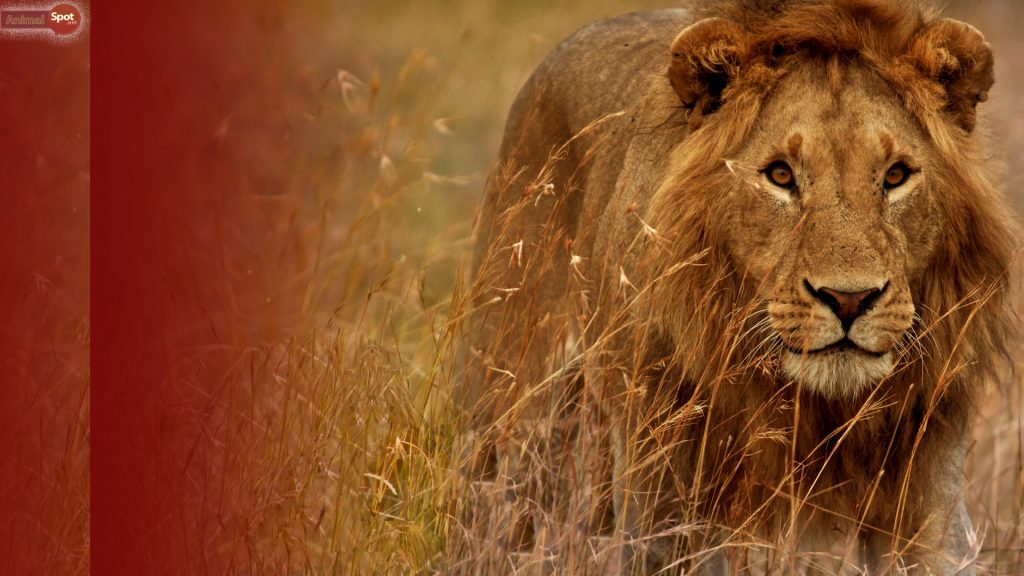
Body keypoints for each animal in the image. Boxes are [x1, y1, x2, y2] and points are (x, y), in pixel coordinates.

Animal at [460, 1, 1018, 574]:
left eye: (896, 175)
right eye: (780, 175)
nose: (849, 299)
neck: (817, 408)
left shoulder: (929, 496)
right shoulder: (662, 489)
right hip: (515, 418)